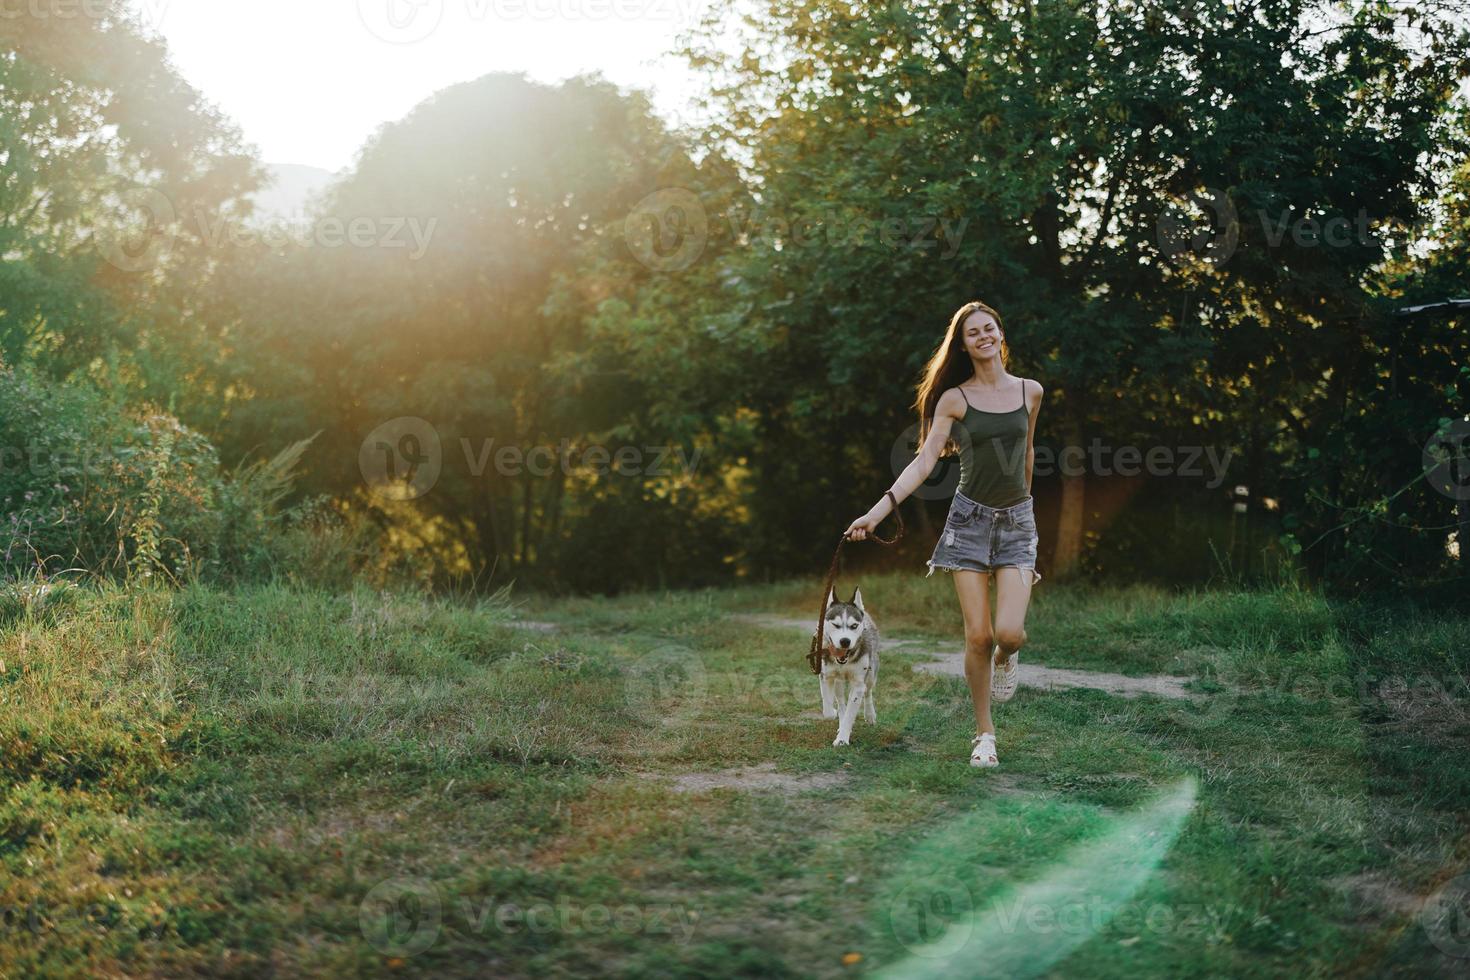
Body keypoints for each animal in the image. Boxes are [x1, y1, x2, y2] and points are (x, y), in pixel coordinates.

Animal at [823, 587, 876, 746]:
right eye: (835, 625)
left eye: (854, 626)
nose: (845, 641)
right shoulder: (826, 676)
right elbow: (828, 711)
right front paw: (835, 714)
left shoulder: (858, 684)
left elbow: (850, 714)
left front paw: (842, 739)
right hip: (838, 682)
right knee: (841, 700)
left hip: (871, 674)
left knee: (868, 691)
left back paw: (870, 715)